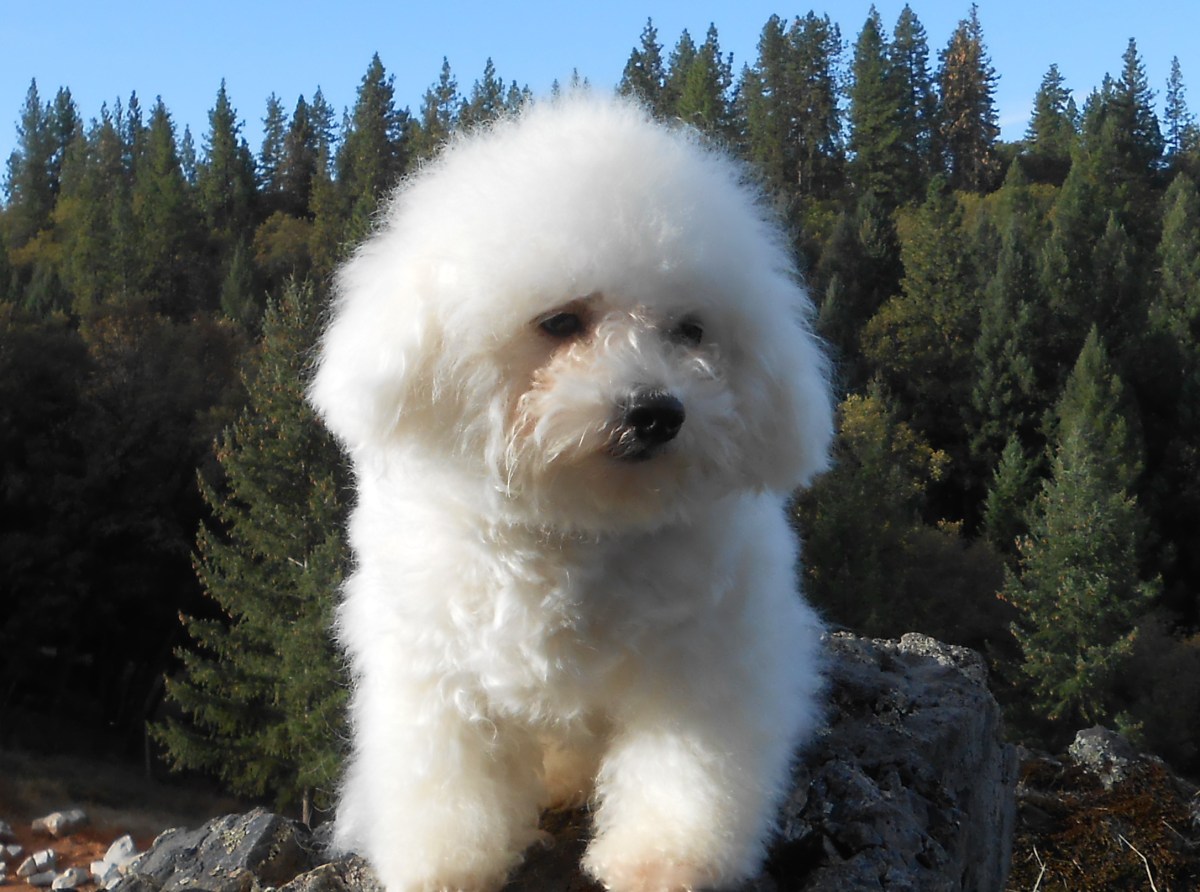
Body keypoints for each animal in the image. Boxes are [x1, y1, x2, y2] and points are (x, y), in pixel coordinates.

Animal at [309, 95, 833, 892]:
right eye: (560, 321)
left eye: (690, 331)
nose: (656, 411)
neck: (575, 530)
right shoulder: (433, 668)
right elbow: (447, 777)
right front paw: (444, 859)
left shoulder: (703, 669)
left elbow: (685, 773)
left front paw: (663, 858)